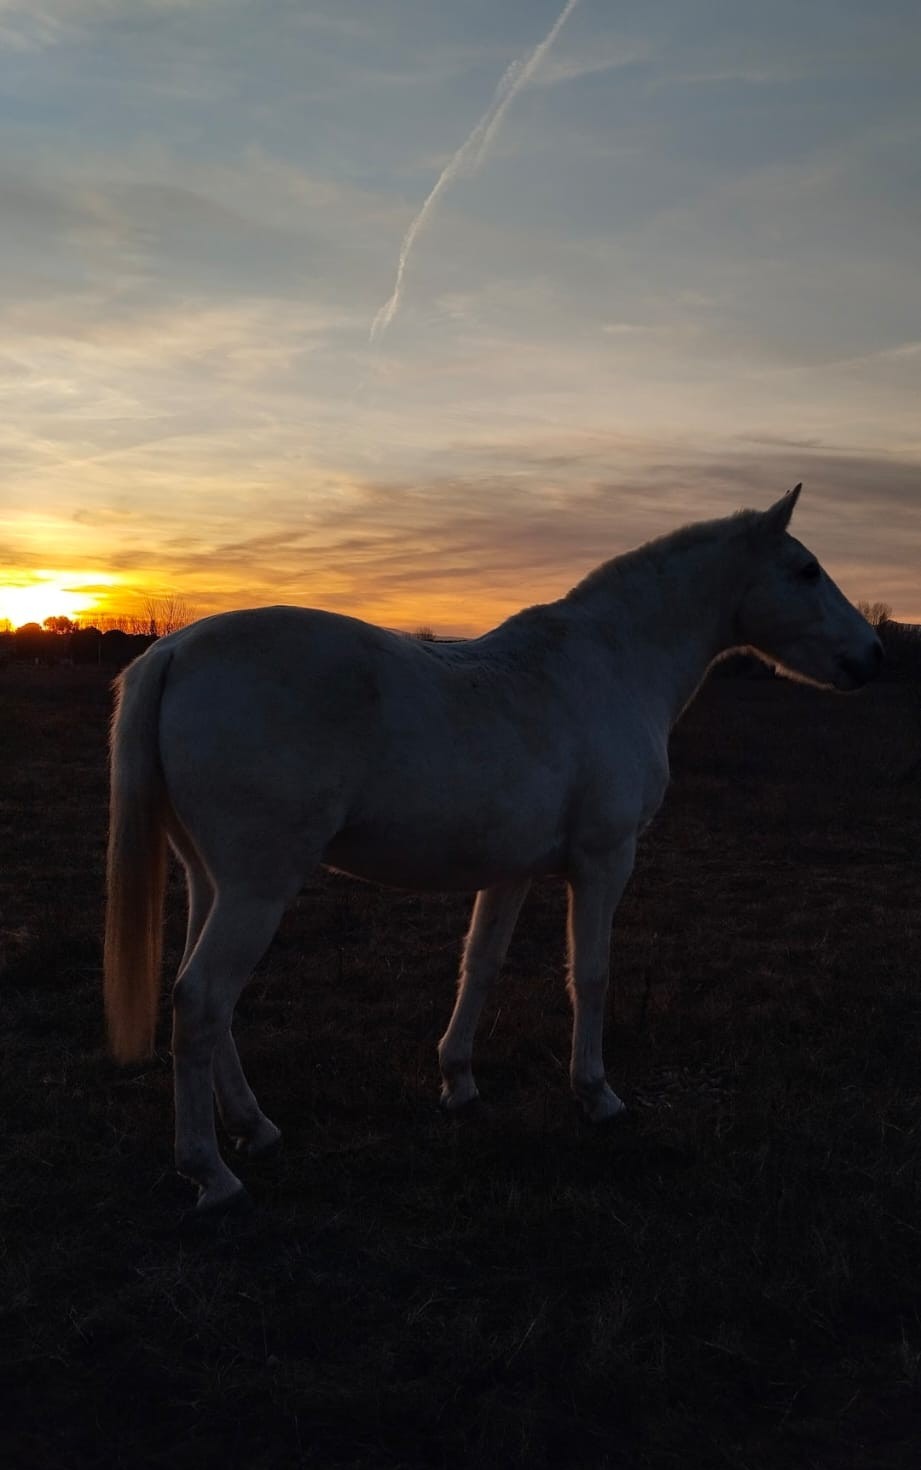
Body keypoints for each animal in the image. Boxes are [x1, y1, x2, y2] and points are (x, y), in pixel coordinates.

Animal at [104, 485, 882, 1213]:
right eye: (806, 570)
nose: (872, 658)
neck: (616, 665)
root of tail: (172, 651)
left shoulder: (511, 871)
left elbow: (478, 966)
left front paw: (458, 1082)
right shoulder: (604, 861)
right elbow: (591, 973)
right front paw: (596, 1095)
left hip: (211, 880)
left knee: (203, 1001)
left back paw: (254, 1128)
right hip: (258, 887)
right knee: (202, 1000)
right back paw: (212, 1173)